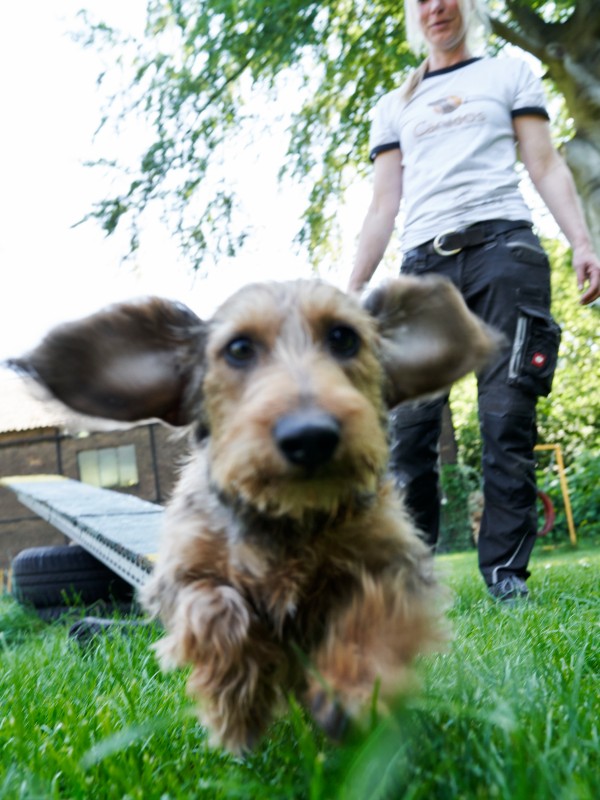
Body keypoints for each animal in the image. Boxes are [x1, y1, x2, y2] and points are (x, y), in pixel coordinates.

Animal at [12, 276, 496, 752]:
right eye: (239, 348)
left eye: (343, 338)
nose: (310, 436)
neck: (289, 517)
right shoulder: (184, 575)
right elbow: (215, 610)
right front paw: (237, 707)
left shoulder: (393, 565)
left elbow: (373, 616)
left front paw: (351, 691)